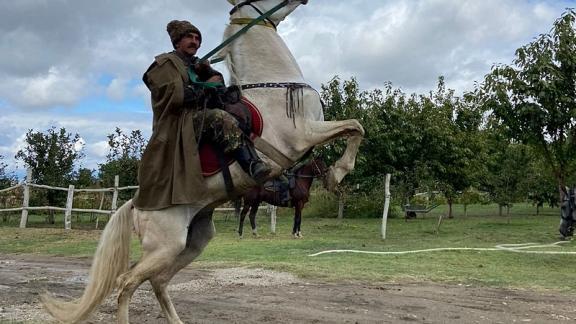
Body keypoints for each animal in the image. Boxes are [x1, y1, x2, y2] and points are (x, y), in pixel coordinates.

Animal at [41, 1, 364, 322]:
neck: (272, 86)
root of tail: (135, 205)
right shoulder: (303, 134)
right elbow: (355, 126)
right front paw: (337, 173)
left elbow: (354, 128)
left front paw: (335, 174)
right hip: (165, 247)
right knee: (126, 283)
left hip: (193, 241)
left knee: (158, 281)